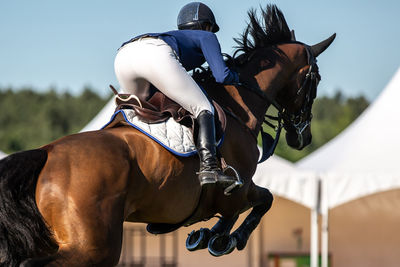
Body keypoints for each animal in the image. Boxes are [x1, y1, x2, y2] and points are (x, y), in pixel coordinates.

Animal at [0, 4, 334, 267]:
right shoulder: (237, 189)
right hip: (94, 247)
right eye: (315, 78)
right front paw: (223, 239)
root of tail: (46, 153)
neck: (238, 104)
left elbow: (257, 203)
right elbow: (263, 200)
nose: (302, 138)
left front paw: (209, 236)